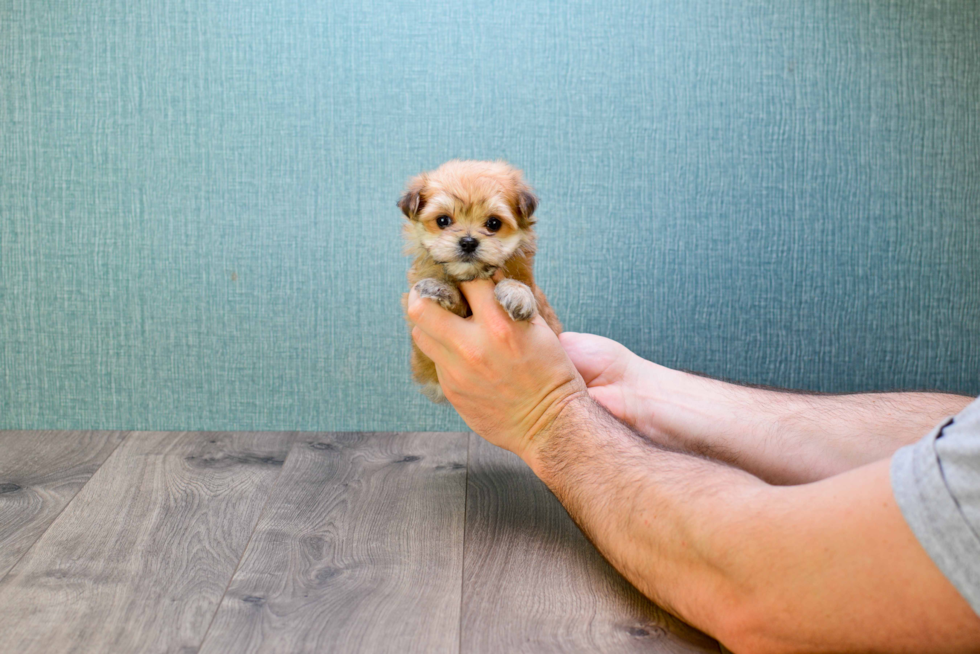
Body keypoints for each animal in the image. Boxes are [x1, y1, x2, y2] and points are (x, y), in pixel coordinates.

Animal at [398, 161, 564, 402]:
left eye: (493, 223)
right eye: (443, 221)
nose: (468, 242)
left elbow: (520, 285)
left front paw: (517, 293)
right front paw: (442, 288)